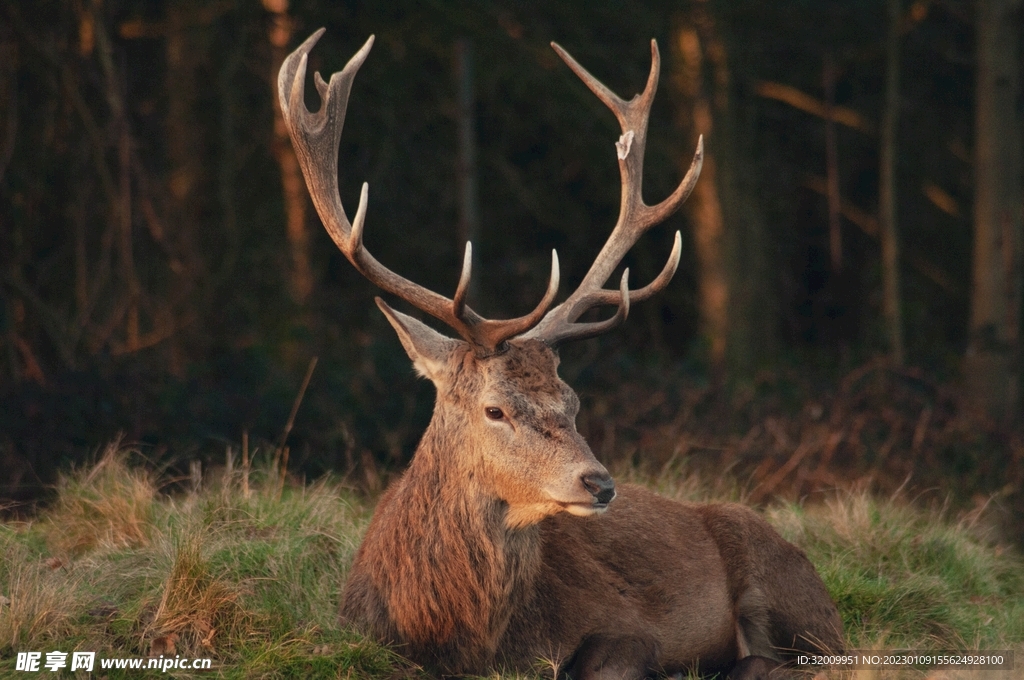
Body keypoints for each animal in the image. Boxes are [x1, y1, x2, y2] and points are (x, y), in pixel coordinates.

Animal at [278, 28, 844, 680]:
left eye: (572, 402)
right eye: (495, 409)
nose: (599, 483)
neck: (461, 636)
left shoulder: (628, 629)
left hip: (790, 588)